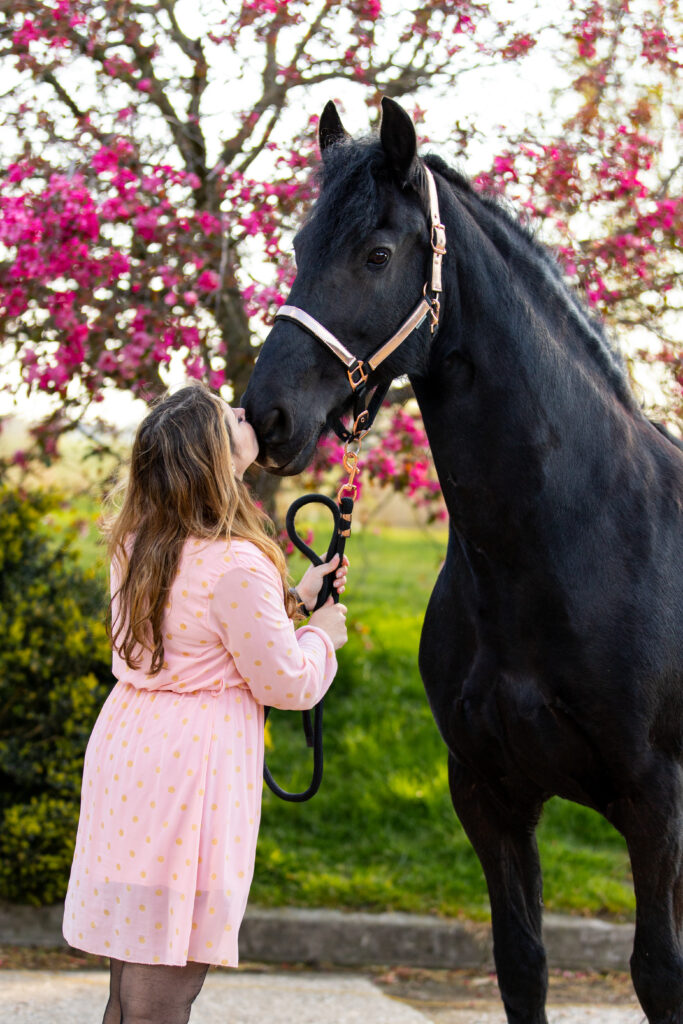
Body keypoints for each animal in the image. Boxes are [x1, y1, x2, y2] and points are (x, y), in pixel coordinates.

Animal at [241, 97, 683, 1024]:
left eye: (377, 254)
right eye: (298, 247)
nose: (268, 416)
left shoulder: (654, 798)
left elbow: (658, 971)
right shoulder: (487, 794)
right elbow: (518, 962)